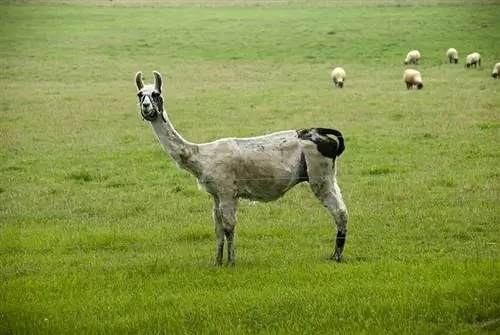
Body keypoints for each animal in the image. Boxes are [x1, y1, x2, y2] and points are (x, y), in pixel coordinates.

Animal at [135, 71, 350, 268]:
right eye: (139, 94)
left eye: (155, 94)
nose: (146, 107)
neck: (202, 155)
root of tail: (321, 132)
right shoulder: (216, 195)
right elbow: (218, 229)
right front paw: (217, 262)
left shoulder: (228, 191)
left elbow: (229, 227)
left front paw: (231, 262)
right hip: (328, 174)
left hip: (319, 174)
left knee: (340, 212)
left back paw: (336, 257)